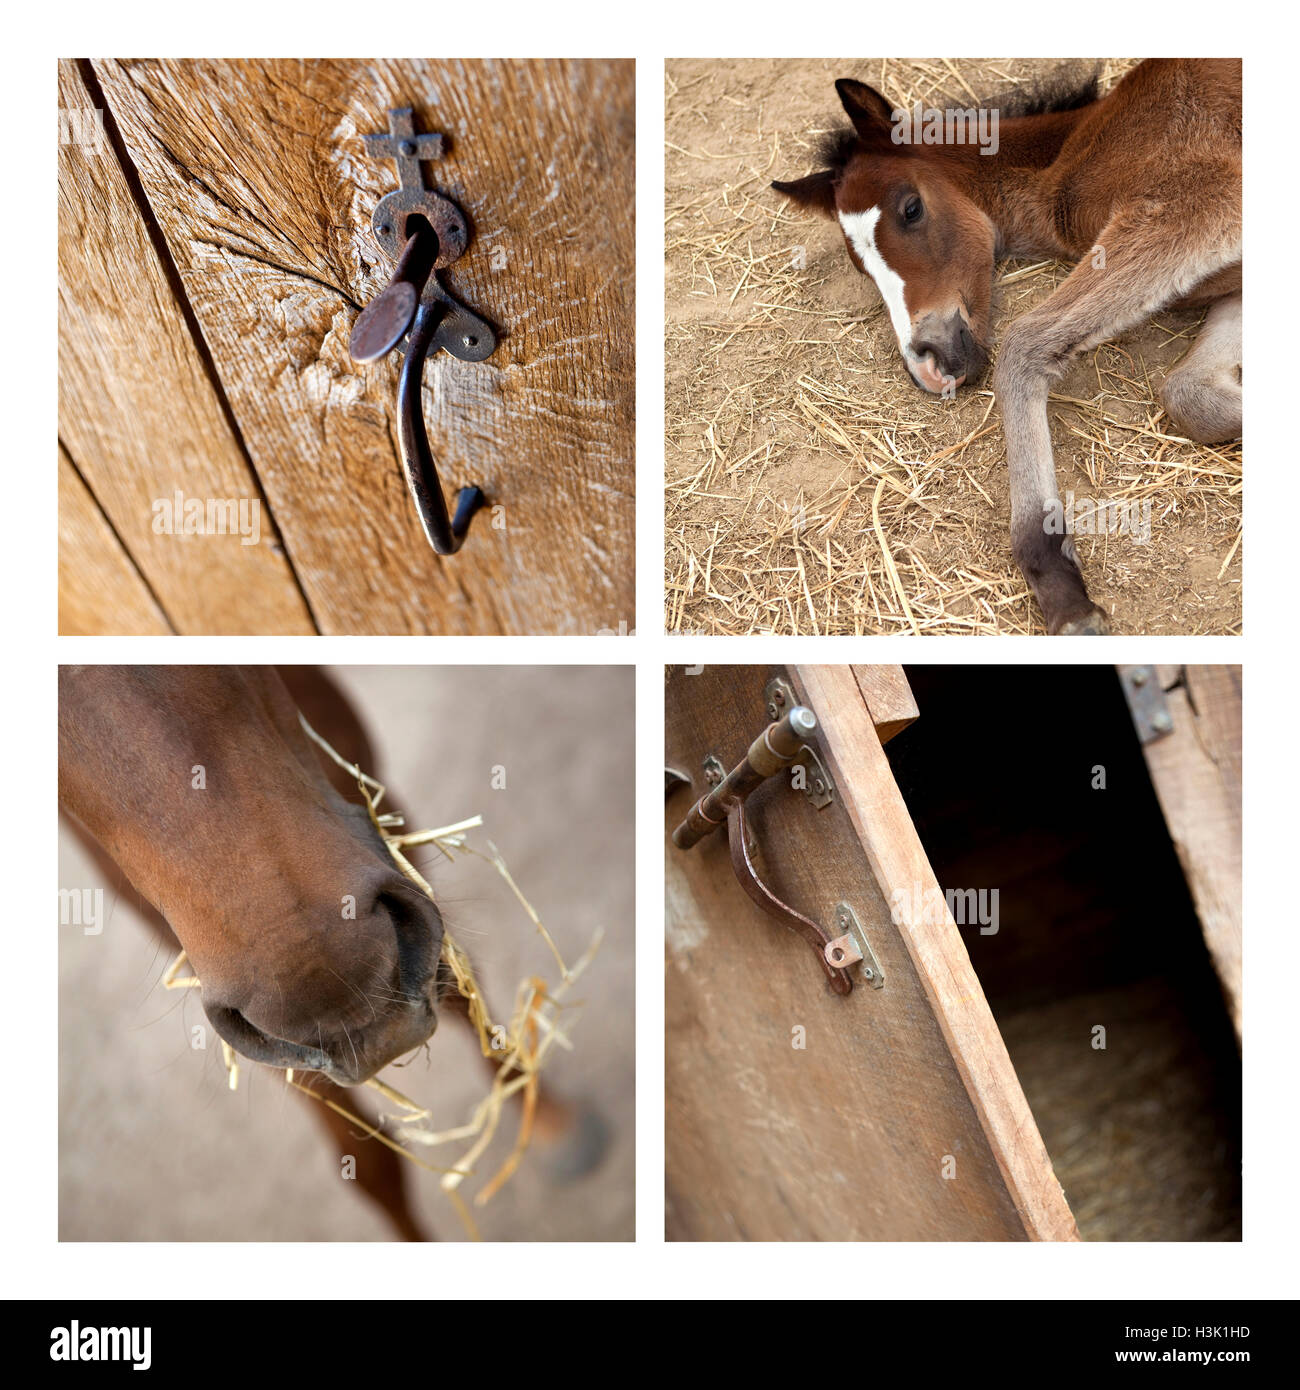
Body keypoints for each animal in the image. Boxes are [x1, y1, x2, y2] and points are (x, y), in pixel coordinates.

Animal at [772, 59, 1241, 634]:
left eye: (911, 208)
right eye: (860, 265)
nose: (926, 363)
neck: (1073, 152)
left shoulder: (1197, 200)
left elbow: (1025, 343)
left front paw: (1061, 587)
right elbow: (1191, 391)